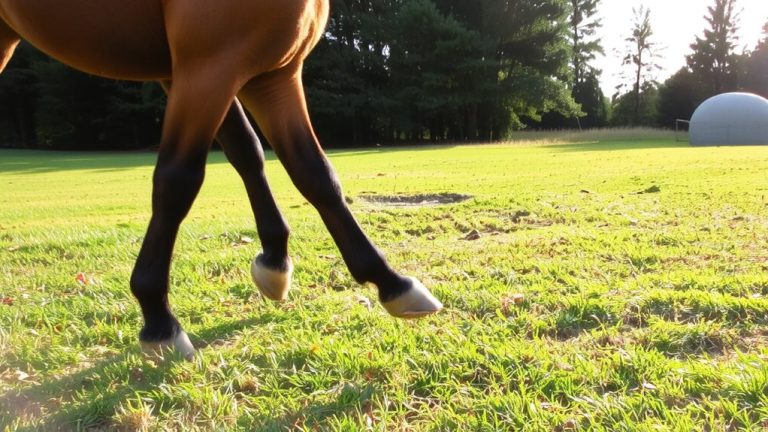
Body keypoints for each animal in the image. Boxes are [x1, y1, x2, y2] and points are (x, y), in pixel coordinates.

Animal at [0, 0, 442, 360]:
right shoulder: (208, 66)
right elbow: (178, 179)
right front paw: (158, 318)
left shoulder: (269, 75)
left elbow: (304, 170)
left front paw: (387, 282)